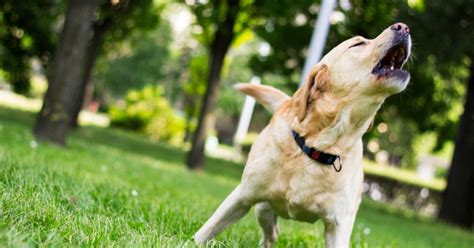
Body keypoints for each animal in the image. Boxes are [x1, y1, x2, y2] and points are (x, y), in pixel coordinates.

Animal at [195, 23, 412, 248]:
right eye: (358, 44)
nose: (403, 27)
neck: (319, 148)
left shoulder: (339, 225)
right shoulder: (243, 195)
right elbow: (205, 231)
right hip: (262, 208)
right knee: (270, 231)